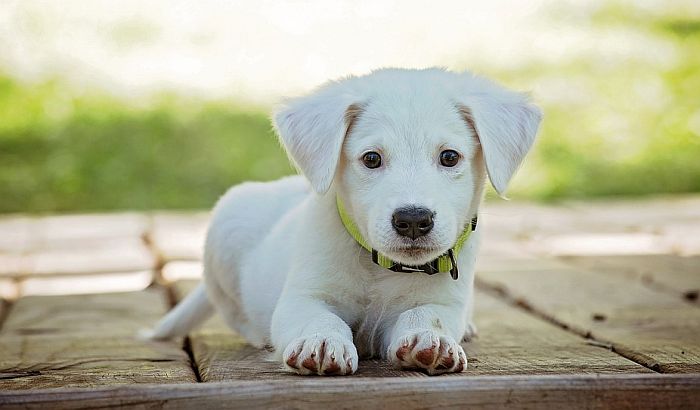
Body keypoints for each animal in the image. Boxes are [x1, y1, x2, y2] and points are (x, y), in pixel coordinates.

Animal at [148, 67, 540, 374]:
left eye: (449, 157)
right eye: (371, 159)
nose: (413, 220)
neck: (379, 268)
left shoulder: (446, 301)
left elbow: (427, 314)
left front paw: (430, 339)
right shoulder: (303, 297)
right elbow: (320, 317)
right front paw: (321, 342)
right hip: (226, 227)